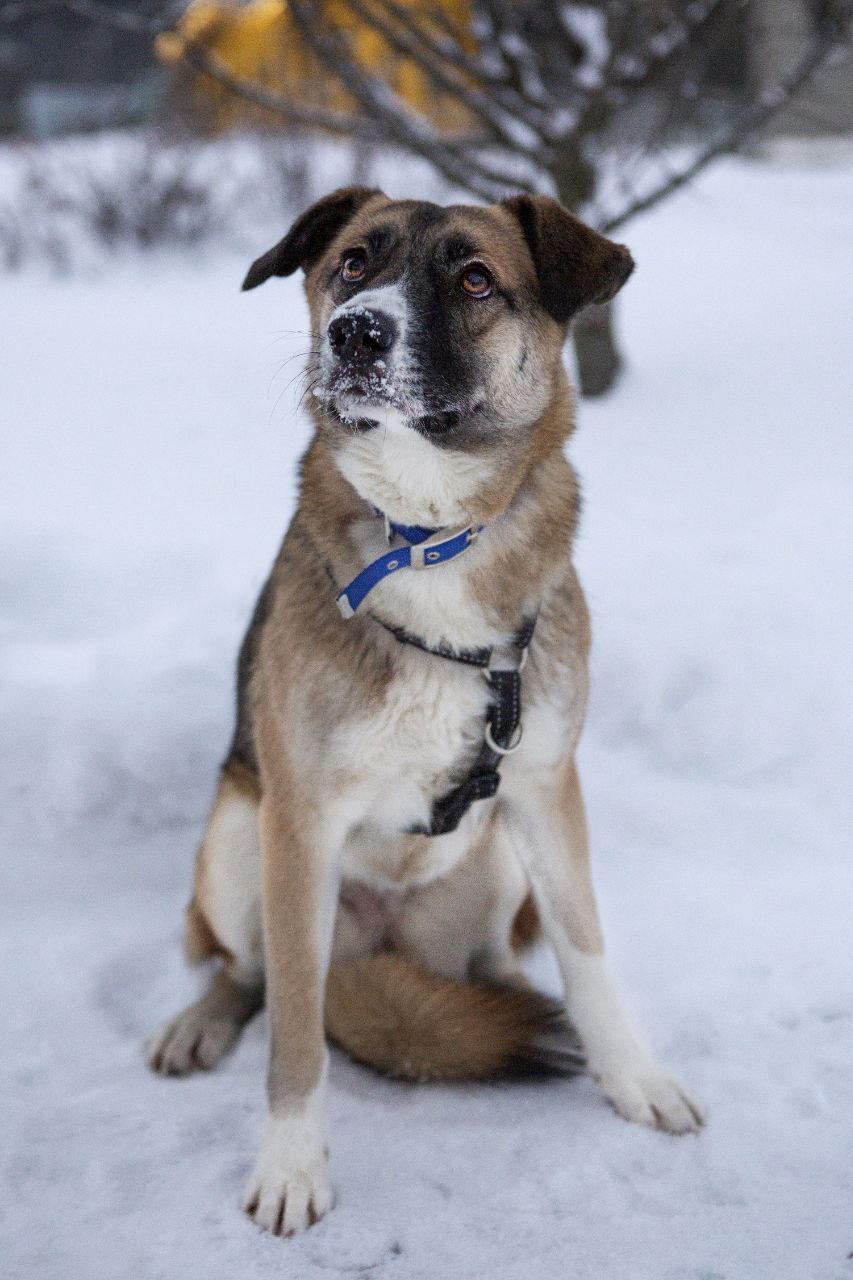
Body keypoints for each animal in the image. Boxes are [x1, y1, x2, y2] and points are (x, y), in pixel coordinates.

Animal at [146, 186, 704, 1238]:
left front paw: (632, 1077)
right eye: (352, 264)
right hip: (239, 836)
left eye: (475, 279)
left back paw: (509, 1008)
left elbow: (587, 949)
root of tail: (380, 946)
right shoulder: (301, 820)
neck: (426, 536)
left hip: (494, 867)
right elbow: (294, 1029)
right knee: (248, 972)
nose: (355, 333)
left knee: (490, 972)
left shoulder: (543, 786)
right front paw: (292, 1166)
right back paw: (200, 1023)